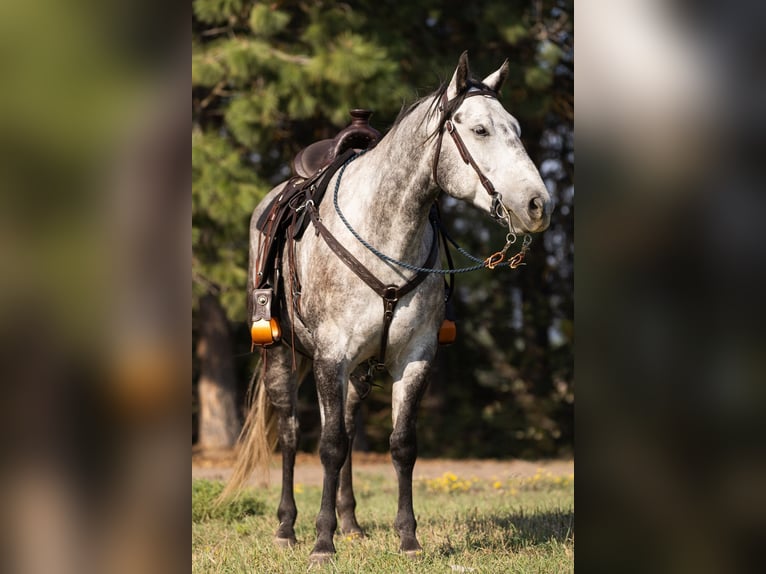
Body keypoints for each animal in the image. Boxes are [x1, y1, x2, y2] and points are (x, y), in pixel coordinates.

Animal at [222, 51, 552, 564]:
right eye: (479, 130)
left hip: (358, 371)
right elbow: (329, 446)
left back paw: (352, 524)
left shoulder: (414, 358)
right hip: (281, 355)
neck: (385, 230)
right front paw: (322, 543)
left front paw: (408, 538)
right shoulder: (331, 357)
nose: (538, 205)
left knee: (350, 428)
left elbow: (400, 445)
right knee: (294, 434)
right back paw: (287, 528)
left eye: (515, 128)